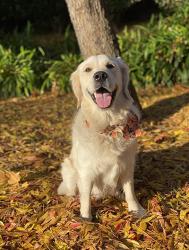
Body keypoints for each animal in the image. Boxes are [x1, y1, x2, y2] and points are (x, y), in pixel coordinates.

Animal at [58, 54, 145, 219]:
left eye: (110, 66)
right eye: (87, 69)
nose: (100, 75)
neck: (108, 126)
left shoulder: (127, 165)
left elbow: (130, 191)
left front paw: (136, 210)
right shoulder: (86, 172)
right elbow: (85, 200)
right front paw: (86, 219)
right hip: (69, 167)